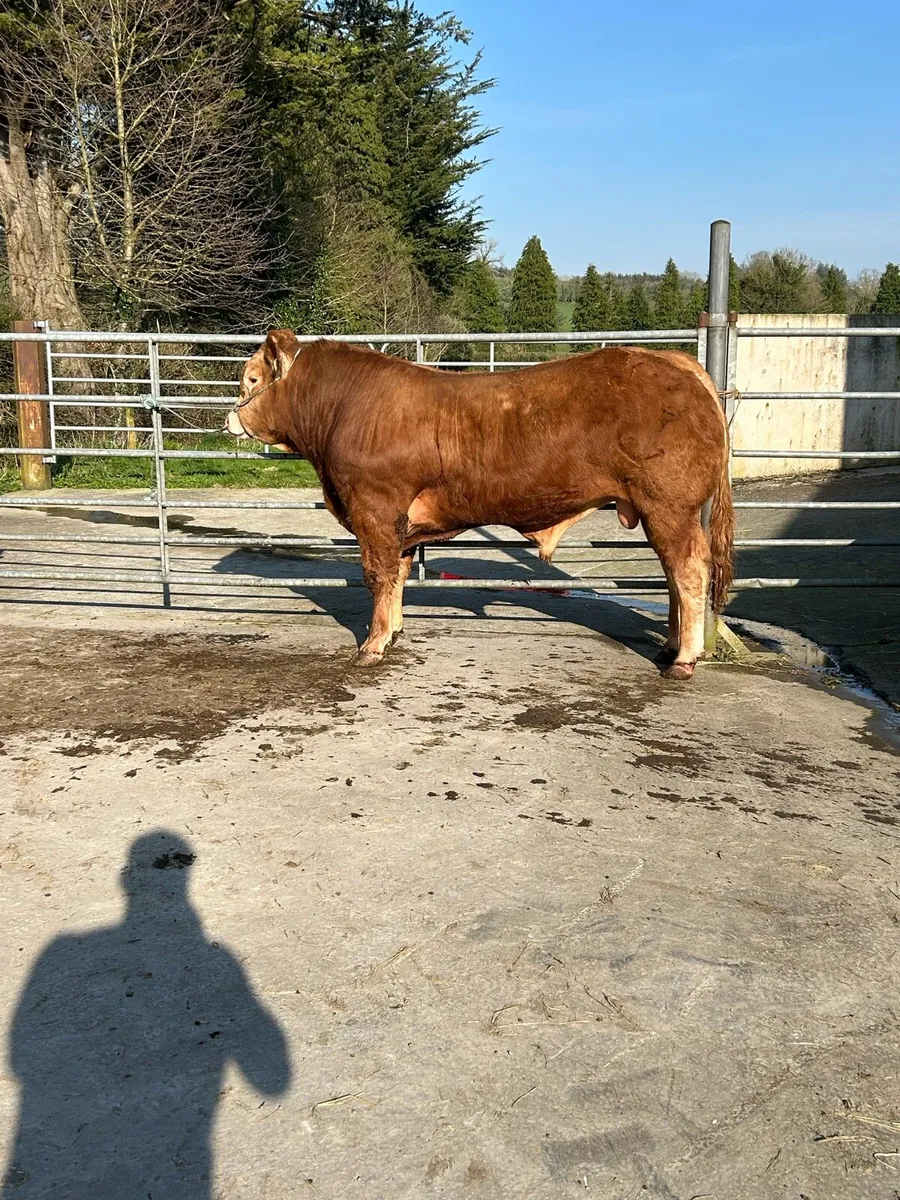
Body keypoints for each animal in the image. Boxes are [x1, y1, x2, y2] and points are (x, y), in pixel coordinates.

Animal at [226, 331, 734, 679]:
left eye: (250, 379)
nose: (229, 419)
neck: (342, 409)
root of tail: (674, 360)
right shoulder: (398, 522)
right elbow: (399, 575)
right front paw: (394, 631)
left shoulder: (374, 509)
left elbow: (378, 576)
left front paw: (371, 645)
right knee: (673, 574)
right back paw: (670, 647)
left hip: (668, 504)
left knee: (688, 571)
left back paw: (684, 659)